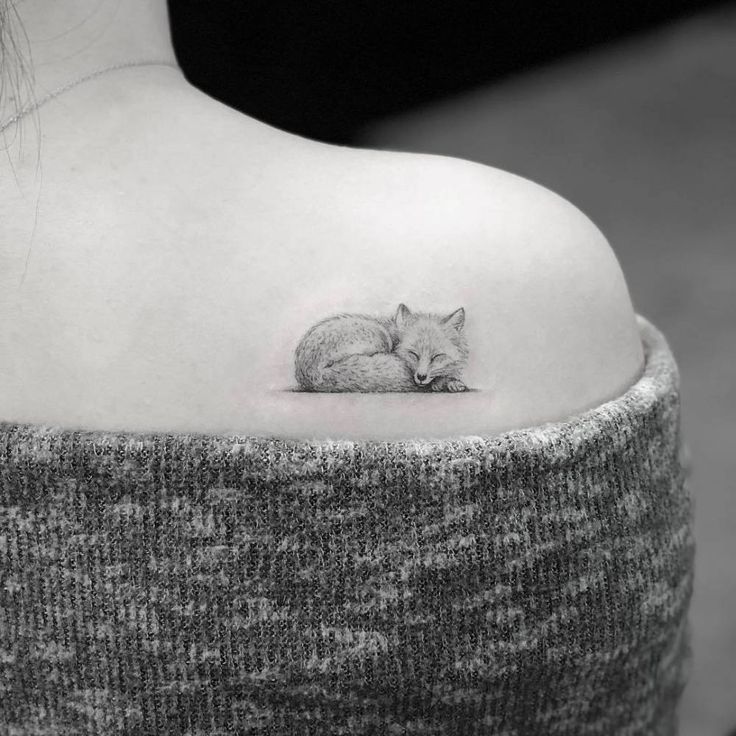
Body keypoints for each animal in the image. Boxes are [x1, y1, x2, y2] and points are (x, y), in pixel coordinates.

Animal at [292, 302, 468, 392]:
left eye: (437, 356)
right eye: (413, 354)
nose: (421, 376)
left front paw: (452, 383)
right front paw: (446, 382)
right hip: (380, 337)